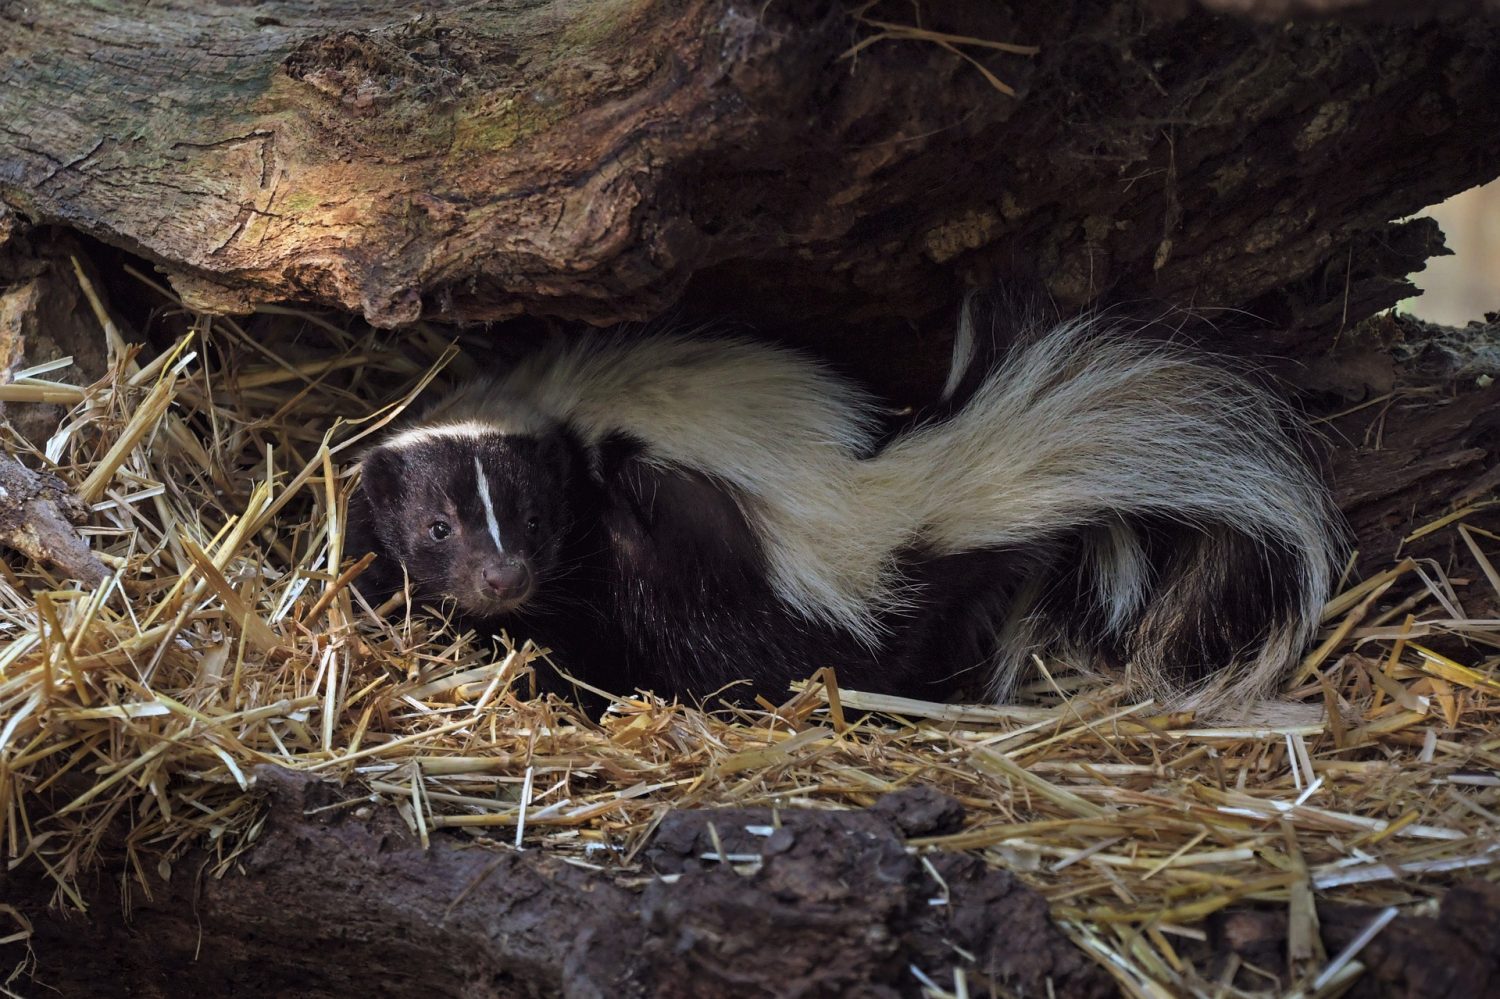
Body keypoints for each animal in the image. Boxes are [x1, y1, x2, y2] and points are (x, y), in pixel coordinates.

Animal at [351, 294, 1350, 708]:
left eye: (533, 519)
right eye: (437, 527)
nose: (502, 578)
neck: (544, 406)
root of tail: (887, 499)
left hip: (708, 568)